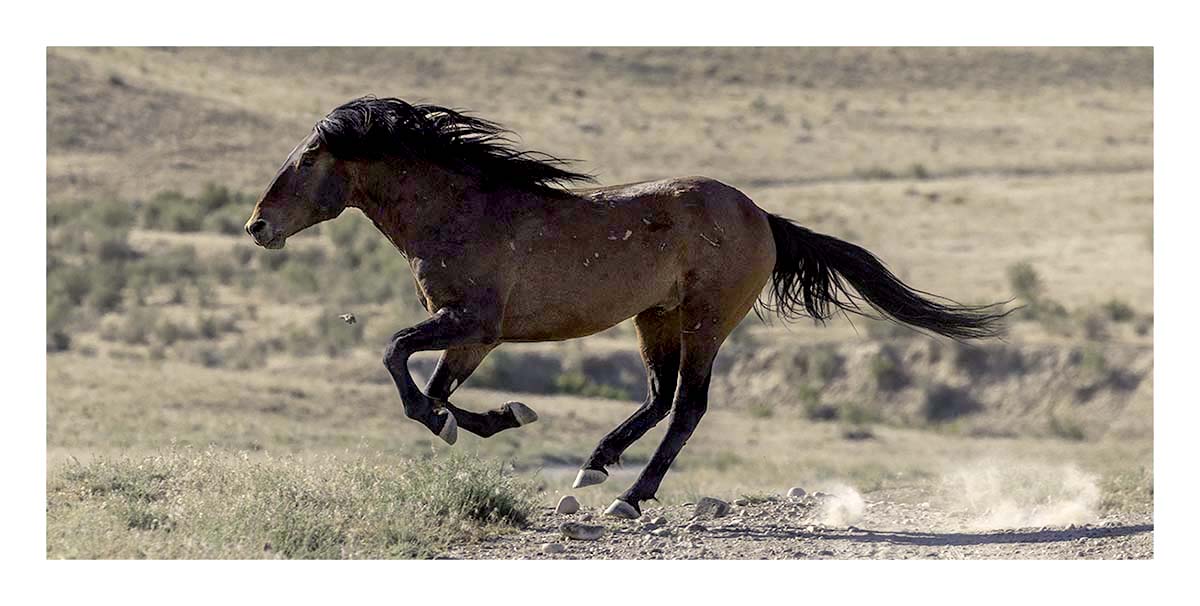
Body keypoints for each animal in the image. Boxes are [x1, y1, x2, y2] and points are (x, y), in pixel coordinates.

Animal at [244, 96, 1008, 519]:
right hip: (655, 319)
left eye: (308, 158)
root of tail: (761, 215)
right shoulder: (473, 337)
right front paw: (500, 417)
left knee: (688, 405)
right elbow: (433, 389)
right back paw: (597, 463)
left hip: (704, 321)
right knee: (660, 396)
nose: (258, 226)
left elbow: (399, 360)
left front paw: (469, 422)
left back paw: (629, 494)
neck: (460, 211)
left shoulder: (474, 325)